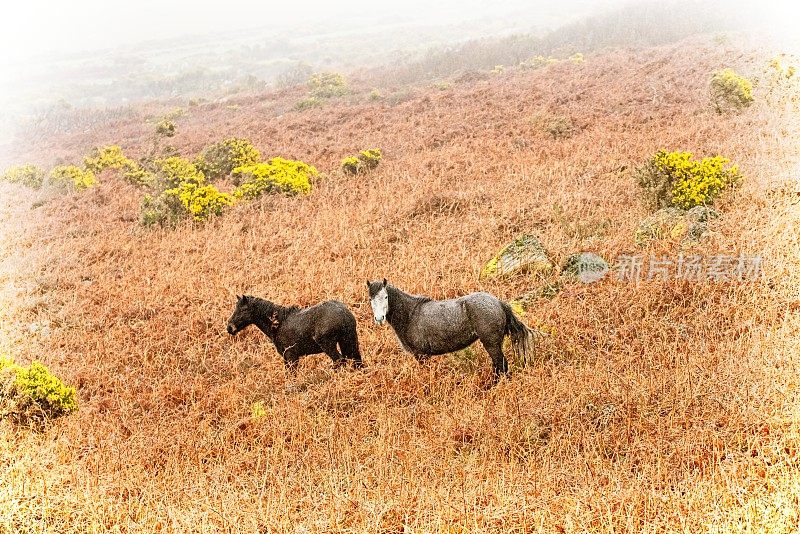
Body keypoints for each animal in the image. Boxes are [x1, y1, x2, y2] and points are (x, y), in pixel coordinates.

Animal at [225, 296, 362, 370]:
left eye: (243, 309)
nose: (229, 328)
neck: (278, 323)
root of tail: (345, 314)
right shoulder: (287, 358)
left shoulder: (291, 356)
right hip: (349, 341)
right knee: (356, 359)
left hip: (328, 345)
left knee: (340, 360)